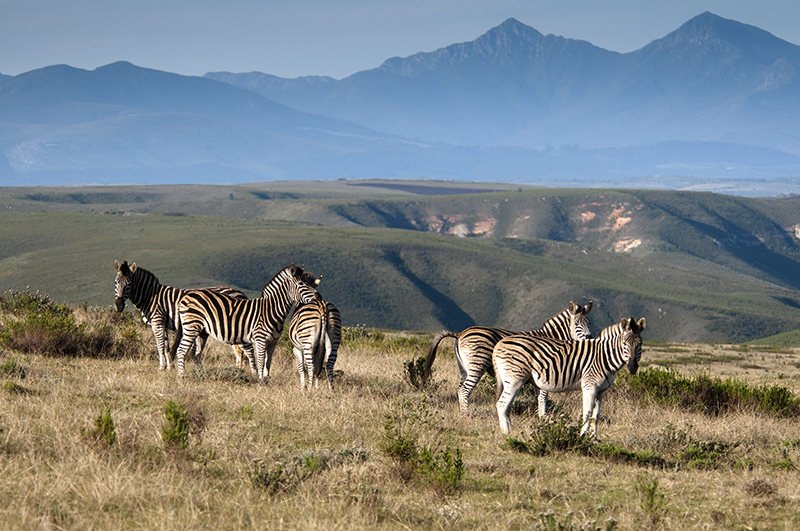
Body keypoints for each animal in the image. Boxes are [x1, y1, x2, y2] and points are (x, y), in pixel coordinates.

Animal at [111, 260, 245, 370]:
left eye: (129, 284)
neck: (150, 297)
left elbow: (160, 346)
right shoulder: (164, 324)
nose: (118, 305)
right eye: (116, 282)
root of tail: (240, 293)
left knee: (239, 351)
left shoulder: (157, 321)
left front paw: (162, 367)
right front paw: (170, 367)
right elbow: (166, 347)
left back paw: (238, 371)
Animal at [175, 266, 318, 382]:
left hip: (202, 332)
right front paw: (260, 382)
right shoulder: (260, 340)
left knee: (196, 354)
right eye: (301, 283)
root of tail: (187, 295)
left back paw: (200, 375)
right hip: (191, 327)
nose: (318, 296)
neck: (272, 311)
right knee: (181, 350)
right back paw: (181, 377)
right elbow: (260, 362)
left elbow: (268, 363)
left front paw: (266, 380)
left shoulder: (273, 342)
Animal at [422, 302, 592, 414]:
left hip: (464, 367)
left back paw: (462, 412)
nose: (589, 337)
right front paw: (544, 418)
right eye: (577, 323)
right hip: (477, 364)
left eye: (589, 323)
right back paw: (466, 415)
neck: (551, 338)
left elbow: (540, 397)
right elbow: (543, 397)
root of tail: (460, 333)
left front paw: (541, 417)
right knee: (465, 390)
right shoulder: (546, 369)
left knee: (459, 389)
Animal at [490, 318, 648, 438]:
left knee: (507, 405)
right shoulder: (590, 386)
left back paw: (510, 430)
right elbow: (587, 413)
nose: (632, 367)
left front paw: (594, 438)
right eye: (625, 343)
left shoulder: (601, 391)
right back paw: (507, 433)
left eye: (640, 344)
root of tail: (499, 343)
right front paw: (583, 436)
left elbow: (596, 416)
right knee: (502, 404)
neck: (605, 356)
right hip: (515, 379)